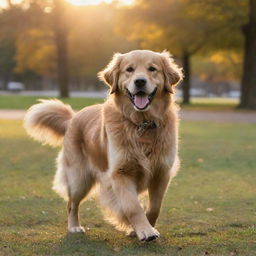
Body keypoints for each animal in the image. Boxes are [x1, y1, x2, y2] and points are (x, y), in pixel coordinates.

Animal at [23, 50, 181, 242]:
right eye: (129, 69)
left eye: (152, 69)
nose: (140, 81)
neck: (141, 123)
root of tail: (73, 117)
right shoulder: (120, 173)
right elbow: (132, 206)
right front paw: (144, 230)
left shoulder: (162, 173)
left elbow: (154, 207)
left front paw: (140, 228)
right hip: (79, 178)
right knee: (71, 204)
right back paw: (74, 226)